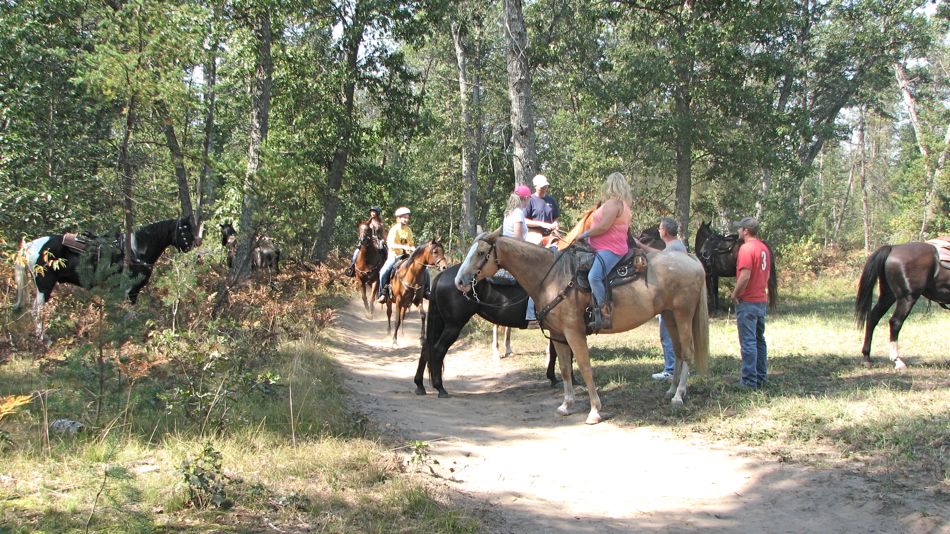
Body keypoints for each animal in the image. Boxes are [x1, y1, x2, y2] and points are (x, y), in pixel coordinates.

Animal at [14, 218, 201, 344]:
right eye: (185, 230)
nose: (196, 248)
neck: (136, 251)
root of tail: (30, 247)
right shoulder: (131, 291)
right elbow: (130, 314)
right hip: (44, 286)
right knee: (36, 311)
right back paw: (43, 338)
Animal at [458, 230, 712, 428]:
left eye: (481, 253)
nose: (459, 281)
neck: (552, 278)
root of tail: (691, 259)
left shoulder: (574, 333)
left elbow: (585, 367)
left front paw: (595, 411)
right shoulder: (558, 336)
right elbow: (564, 368)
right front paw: (566, 405)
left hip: (682, 314)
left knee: (687, 351)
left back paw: (678, 396)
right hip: (669, 315)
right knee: (678, 351)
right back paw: (672, 390)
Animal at [856, 241, 950, 370]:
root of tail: (893, 248)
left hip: (887, 295)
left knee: (873, 318)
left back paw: (866, 358)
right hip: (907, 298)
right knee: (895, 322)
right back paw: (897, 360)